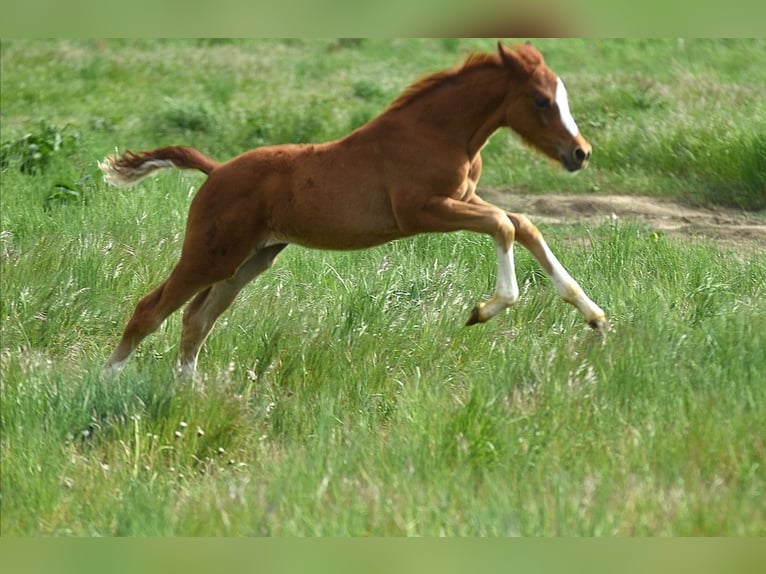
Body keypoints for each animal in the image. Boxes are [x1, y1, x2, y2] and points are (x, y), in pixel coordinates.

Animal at [100, 39, 608, 374]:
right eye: (541, 100)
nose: (580, 153)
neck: (438, 133)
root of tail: (217, 169)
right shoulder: (422, 212)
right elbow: (504, 224)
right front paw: (484, 310)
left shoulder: (464, 198)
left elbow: (523, 224)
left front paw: (594, 315)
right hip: (210, 255)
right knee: (151, 309)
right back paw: (108, 383)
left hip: (250, 259)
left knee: (196, 319)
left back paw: (190, 394)